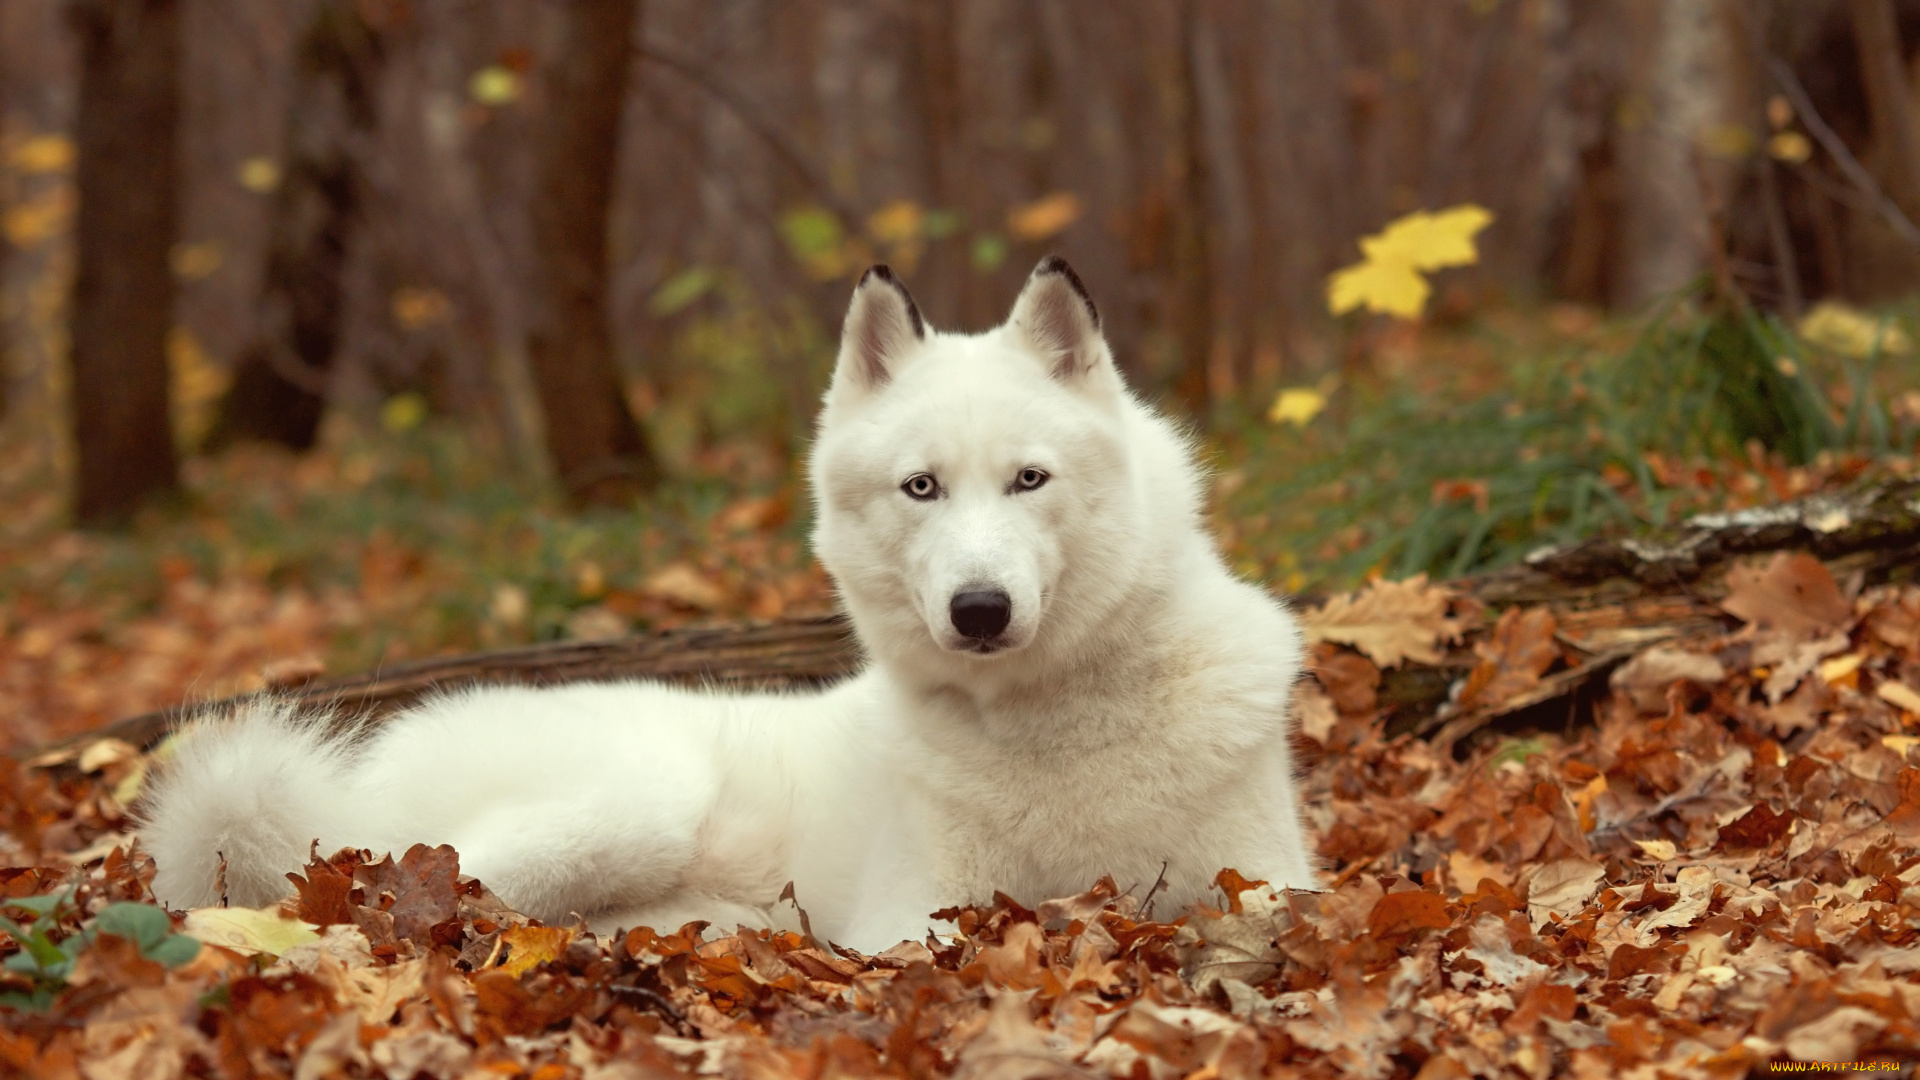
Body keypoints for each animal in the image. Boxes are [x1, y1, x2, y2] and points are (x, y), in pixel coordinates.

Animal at [139, 255, 1320, 945]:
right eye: (922, 488)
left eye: (1029, 480)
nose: (979, 610)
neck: (1056, 728)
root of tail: (353, 776)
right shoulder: (913, 913)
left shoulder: (1268, 875)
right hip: (640, 802)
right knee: (373, 905)